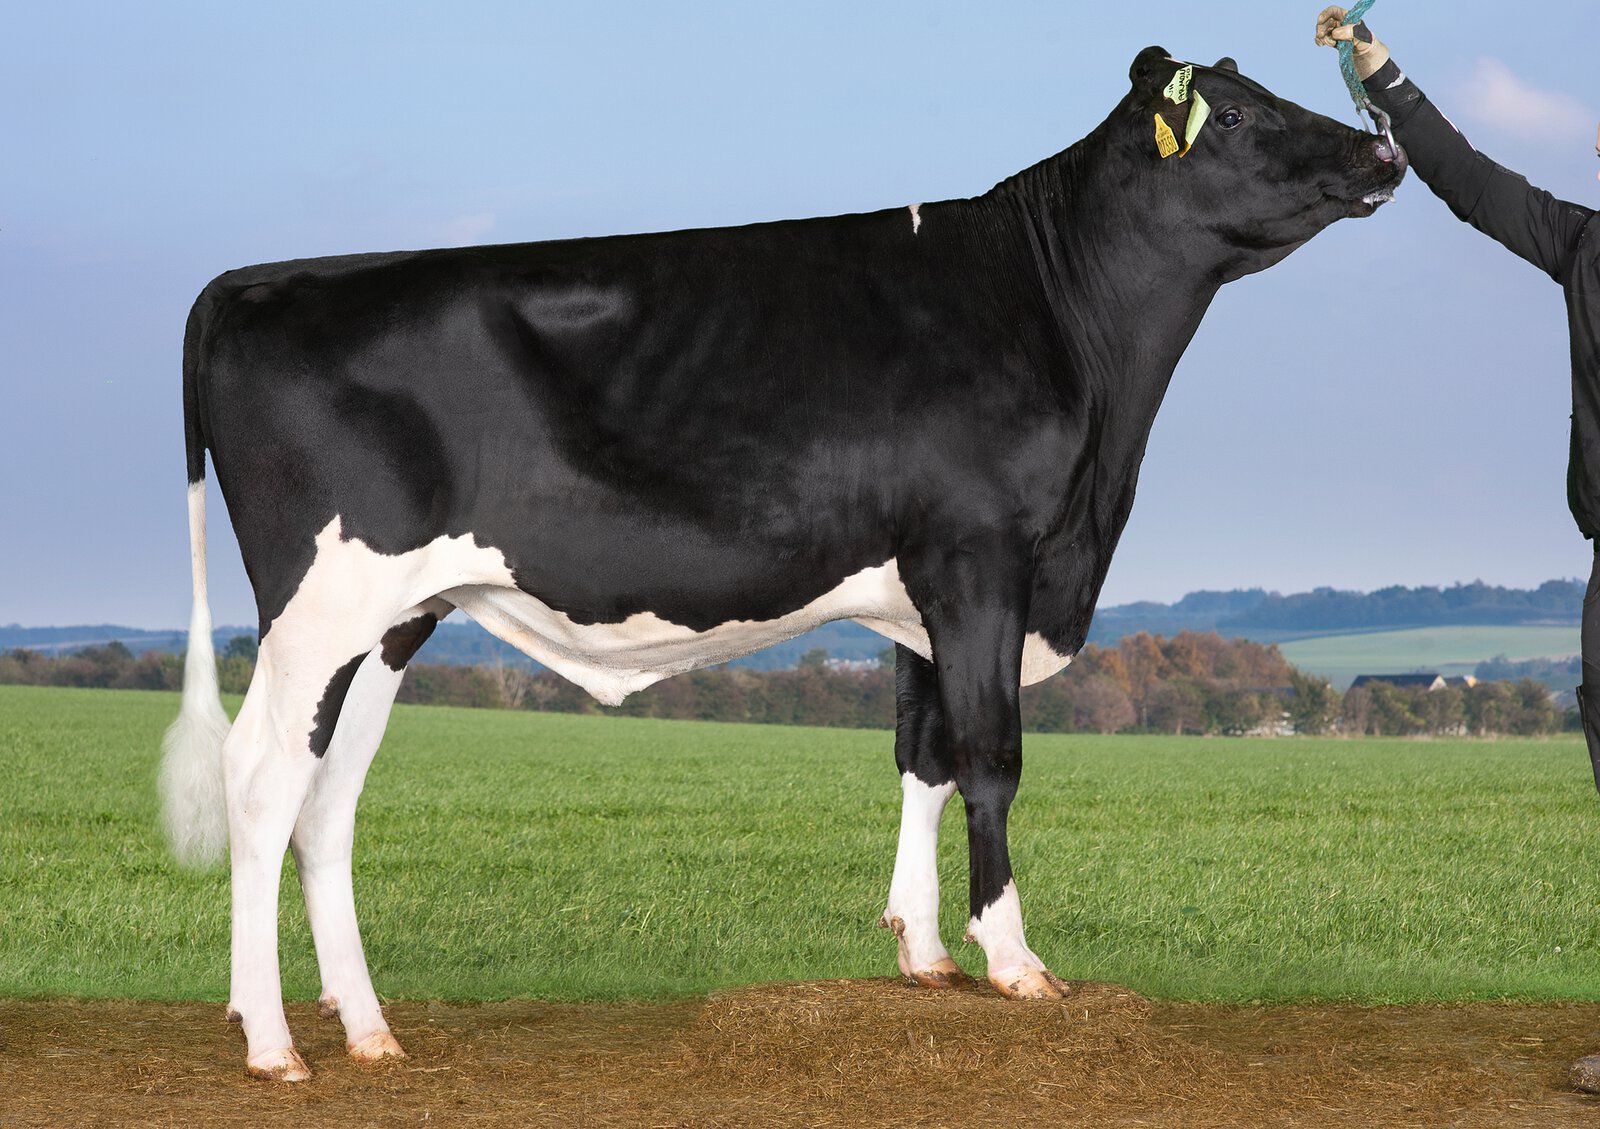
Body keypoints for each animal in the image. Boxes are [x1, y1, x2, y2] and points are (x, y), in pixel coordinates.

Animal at [161, 47, 1404, 1080]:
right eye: (1234, 113)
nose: (1382, 149)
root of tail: (258, 279)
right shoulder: (981, 556)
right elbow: (991, 758)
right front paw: (1012, 960)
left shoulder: (923, 591)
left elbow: (922, 754)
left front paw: (922, 955)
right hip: (319, 603)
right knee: (261, 777)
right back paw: (272, 1044)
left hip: (393, 621)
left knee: (327, 798)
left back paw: (370, 1030)